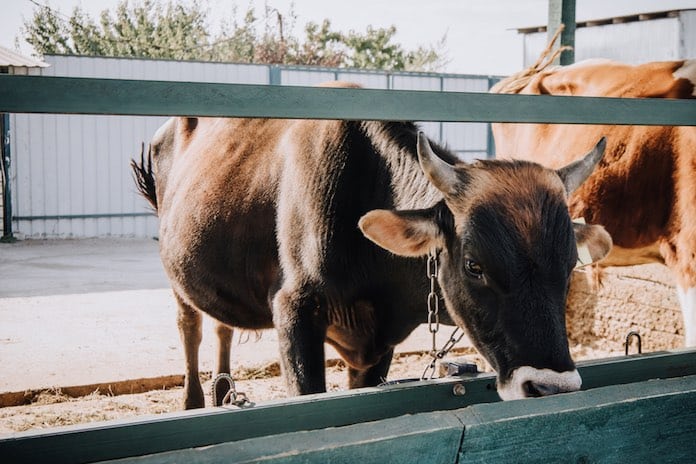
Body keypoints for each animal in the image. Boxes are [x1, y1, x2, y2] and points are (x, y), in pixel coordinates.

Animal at [130, 85, 608, 408]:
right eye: (474, 265)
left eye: (570, 265)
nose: (550, 387)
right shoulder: (293, 311)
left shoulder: (376, 349)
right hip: (176, 275)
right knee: (190, 326)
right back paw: (195, 401)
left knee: (221, 326)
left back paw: (224, 391)